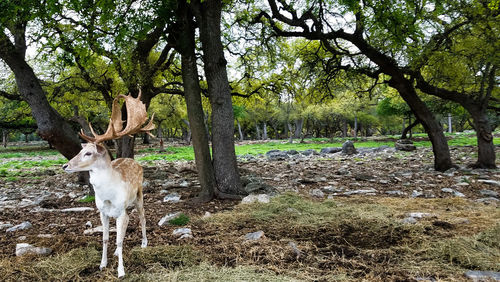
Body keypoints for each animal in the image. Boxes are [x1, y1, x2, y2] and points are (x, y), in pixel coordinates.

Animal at [63, 90, 155, 278]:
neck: (108, 196)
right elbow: (105, 238)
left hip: (139, 194)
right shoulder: (102, 212)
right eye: (80, 150)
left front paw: (121, 271)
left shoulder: (120, 210)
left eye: (88, 153)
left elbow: (119, 240)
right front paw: (102, 264)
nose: (65, 166)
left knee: (142, 216)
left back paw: (144, 243)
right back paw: (116, 252)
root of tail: (135, 161)